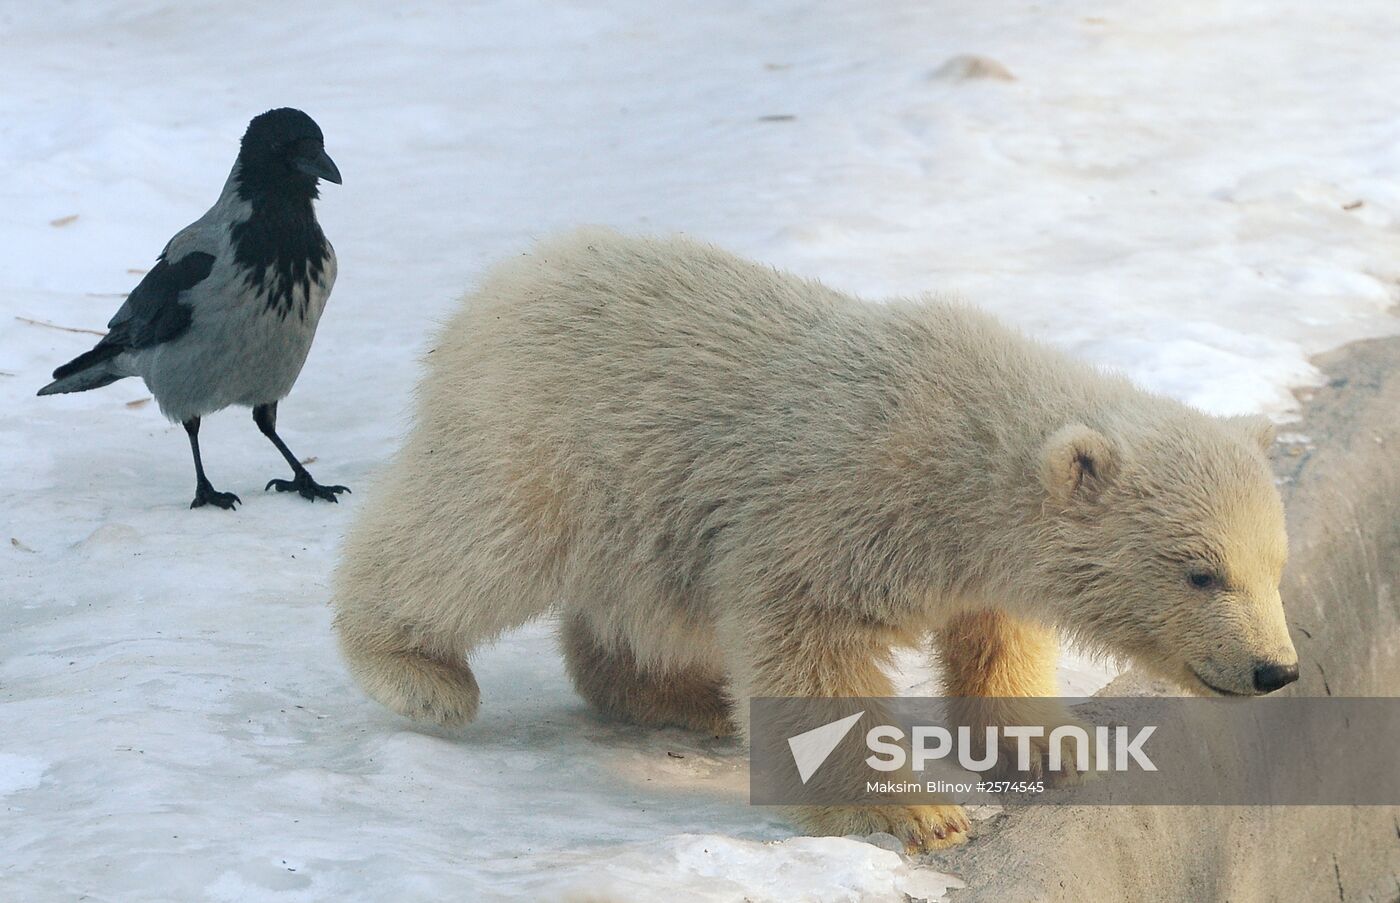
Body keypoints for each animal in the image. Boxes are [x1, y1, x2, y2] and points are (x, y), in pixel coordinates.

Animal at [331, 229, 1299, 850]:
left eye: (1273, 567)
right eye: (1200, 572)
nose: (1276, 671)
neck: (963, 449)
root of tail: (499, 286)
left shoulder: (975, 560)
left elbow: (998, 645)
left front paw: (1057, 751)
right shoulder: (839, 510)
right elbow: (812, 651)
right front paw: (912, 814)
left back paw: (685, 693)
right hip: (550, 442)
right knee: (468, 545)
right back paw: (417, 672)